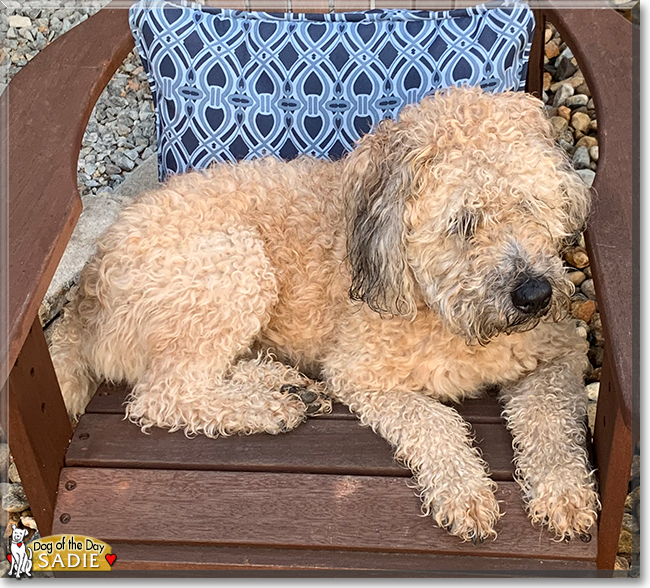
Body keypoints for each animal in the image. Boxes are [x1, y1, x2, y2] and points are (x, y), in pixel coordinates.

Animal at [50, 87, 596, 544]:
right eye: (463, 222)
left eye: (530, 204)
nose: (534, 294)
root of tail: (85, 294)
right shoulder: (362, 375)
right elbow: (434, 420)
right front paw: (465, 491)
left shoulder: (560, 351)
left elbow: (550, 421)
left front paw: (565, 492)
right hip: (235, 266)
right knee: (163, 394)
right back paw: (271, 407)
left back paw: (281, 384)